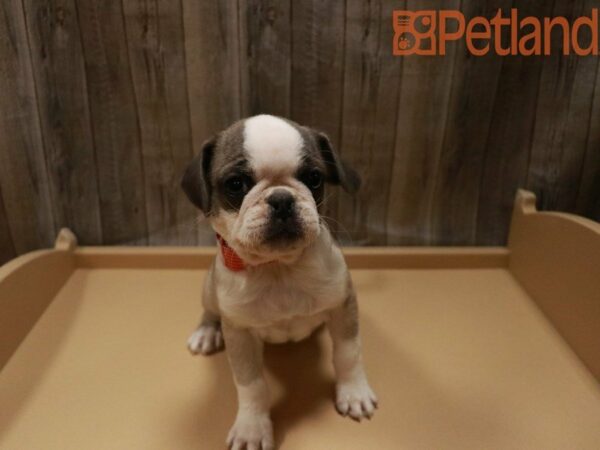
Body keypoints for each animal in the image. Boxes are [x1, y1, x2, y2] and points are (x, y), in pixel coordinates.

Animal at [182, 114, 376, 448]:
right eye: (236, 184)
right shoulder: (240, 333)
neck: (279, 268)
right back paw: (206, 332)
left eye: (314, 178)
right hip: (209, 290)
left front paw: (353, 392)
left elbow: (348, 353)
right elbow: (252, 385)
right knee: (209, 311)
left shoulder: (343, 306)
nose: (282, 198)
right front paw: (251, 427)